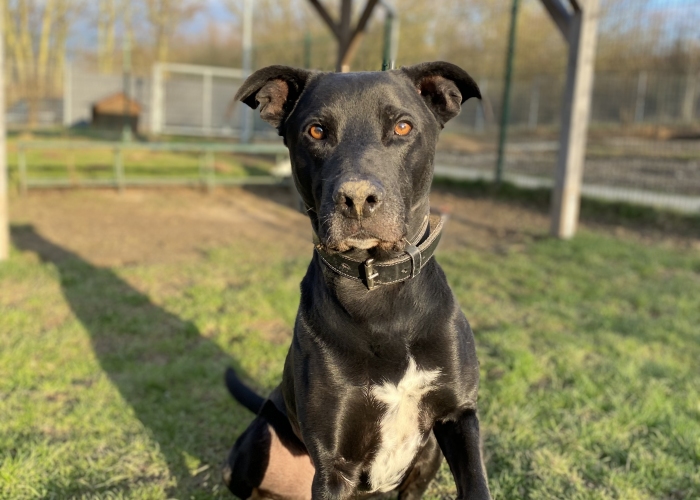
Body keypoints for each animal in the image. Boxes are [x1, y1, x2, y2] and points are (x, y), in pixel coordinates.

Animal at [221, 62, 490, 500]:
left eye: (402, 126)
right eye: (316, 131)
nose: (358, 199)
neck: (382, 299)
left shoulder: (459, 416)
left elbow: (477, 484)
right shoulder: (334, 466)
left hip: (430, 450)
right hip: (253, 447)